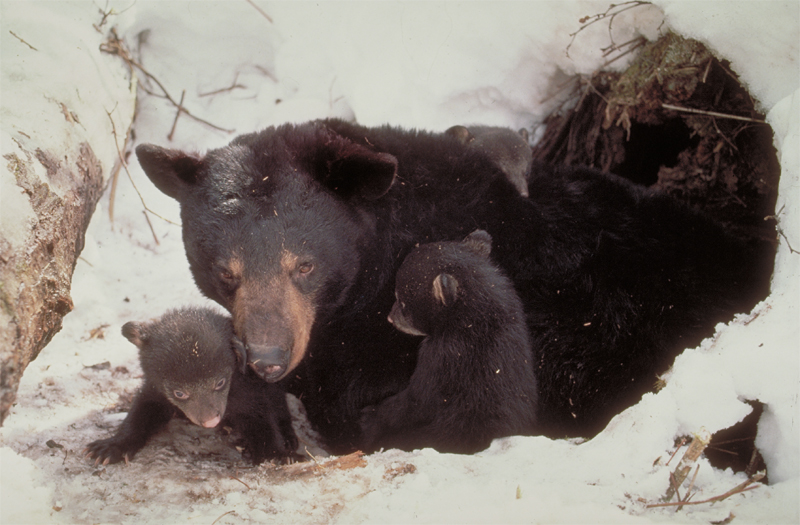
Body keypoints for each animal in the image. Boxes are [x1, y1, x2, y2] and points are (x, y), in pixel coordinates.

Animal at [85, 307, 298, 465]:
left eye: (220, 382)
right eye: (179, 393)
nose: (210, 421)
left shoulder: (247, 387)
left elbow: (259, 417)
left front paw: (278, 455)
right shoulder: (156, 388)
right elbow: (142, 409)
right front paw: (109, 447)